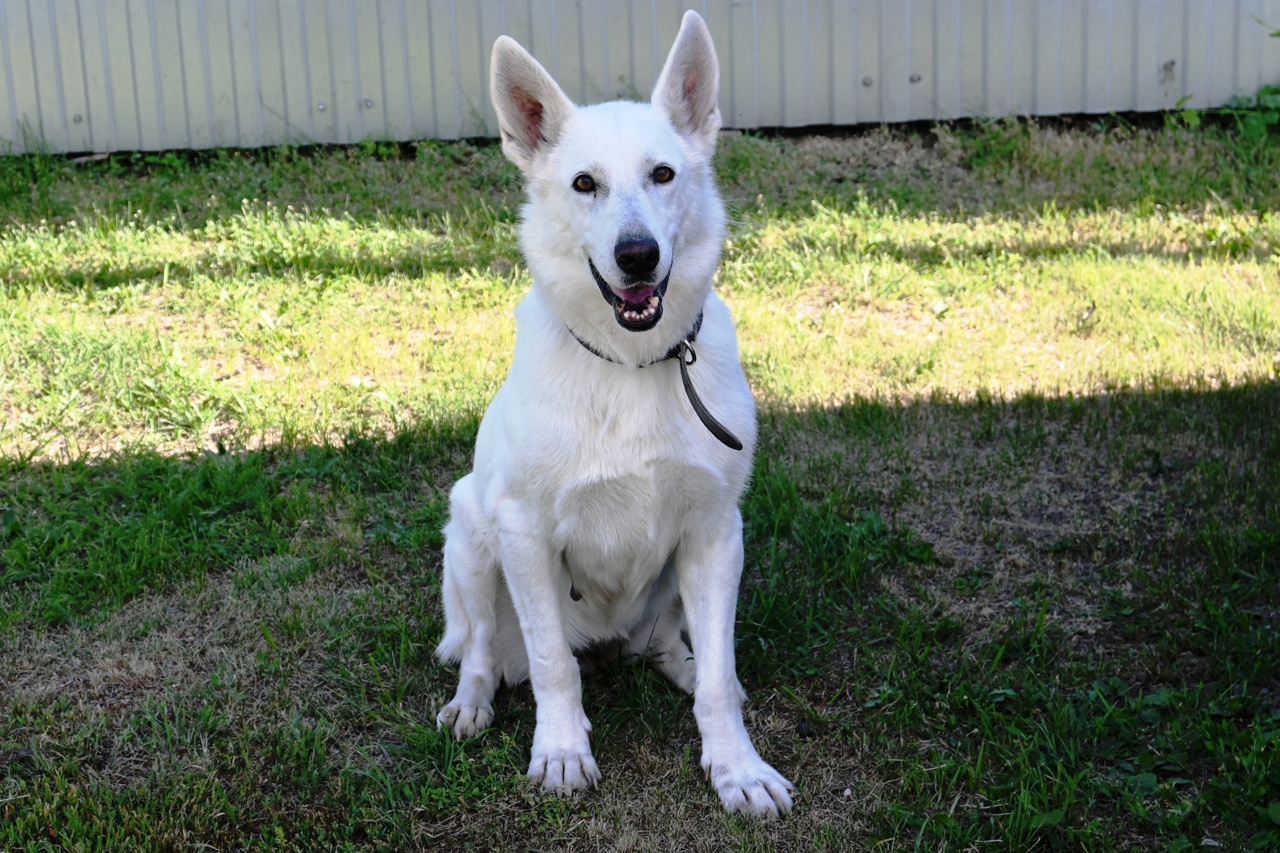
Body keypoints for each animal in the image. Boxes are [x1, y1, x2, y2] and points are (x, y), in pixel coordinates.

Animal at [435, 9, 788, 814]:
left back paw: (683, 668)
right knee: (482, 649)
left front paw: (737, 767)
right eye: (584, 184)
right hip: (469, 534)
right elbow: (551, 665)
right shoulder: (523, 533)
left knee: (667, 647)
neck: (632, 365)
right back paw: (472, 702)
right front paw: (562, 751)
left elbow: (718, 673)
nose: (637, 256)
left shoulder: (715, 532)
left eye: (663, 174)